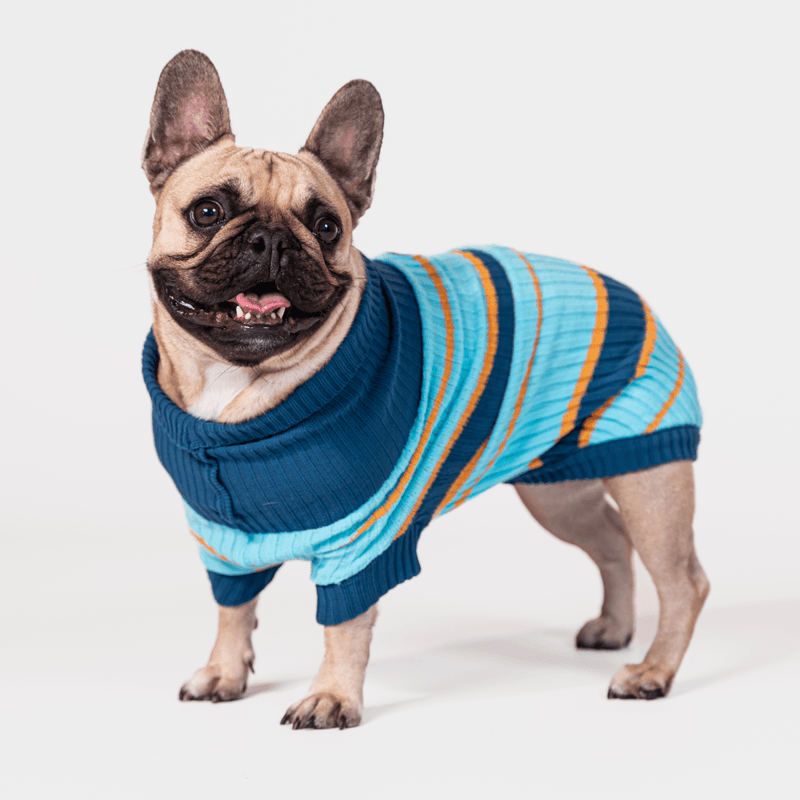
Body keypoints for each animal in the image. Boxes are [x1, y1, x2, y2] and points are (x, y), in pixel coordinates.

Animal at [141, 50, 709, 729]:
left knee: (682, 582)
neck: (240, 390)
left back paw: (653, 672)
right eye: (208, 212)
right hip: (558, 493)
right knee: (613, 543)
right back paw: (614, 628)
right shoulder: (220, 537)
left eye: (326, 226)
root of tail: (631, 295)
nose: (272, 239)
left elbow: (343, 625)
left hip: (651, 482)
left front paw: (331, 697)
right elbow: (232, 607)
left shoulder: (362, 539)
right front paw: (225, 672)